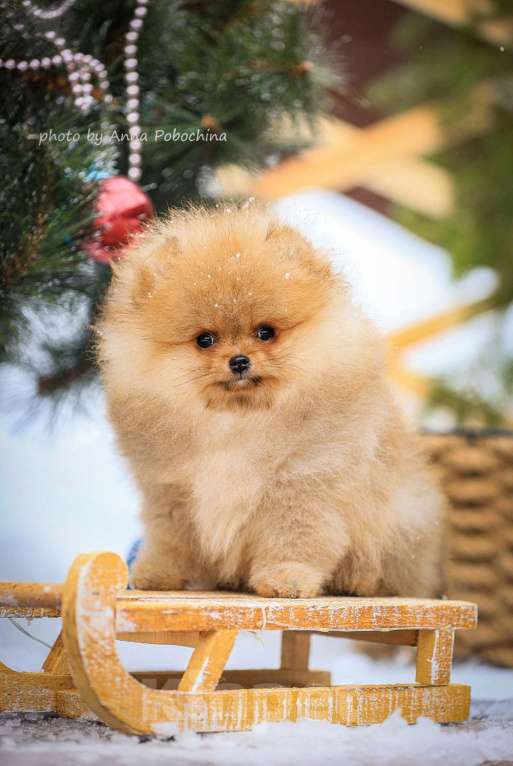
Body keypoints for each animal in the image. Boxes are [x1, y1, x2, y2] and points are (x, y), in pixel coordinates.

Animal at [98, 207, 442, 604]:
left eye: (265, 332)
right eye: (205, 340)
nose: (239, 361)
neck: (239, 419)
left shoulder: (301, 482)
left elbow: (294, 539)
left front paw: (287, 579)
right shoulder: (172, 490)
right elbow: (172, 539)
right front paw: (159, 573)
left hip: (400, 522)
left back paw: (360, 582)